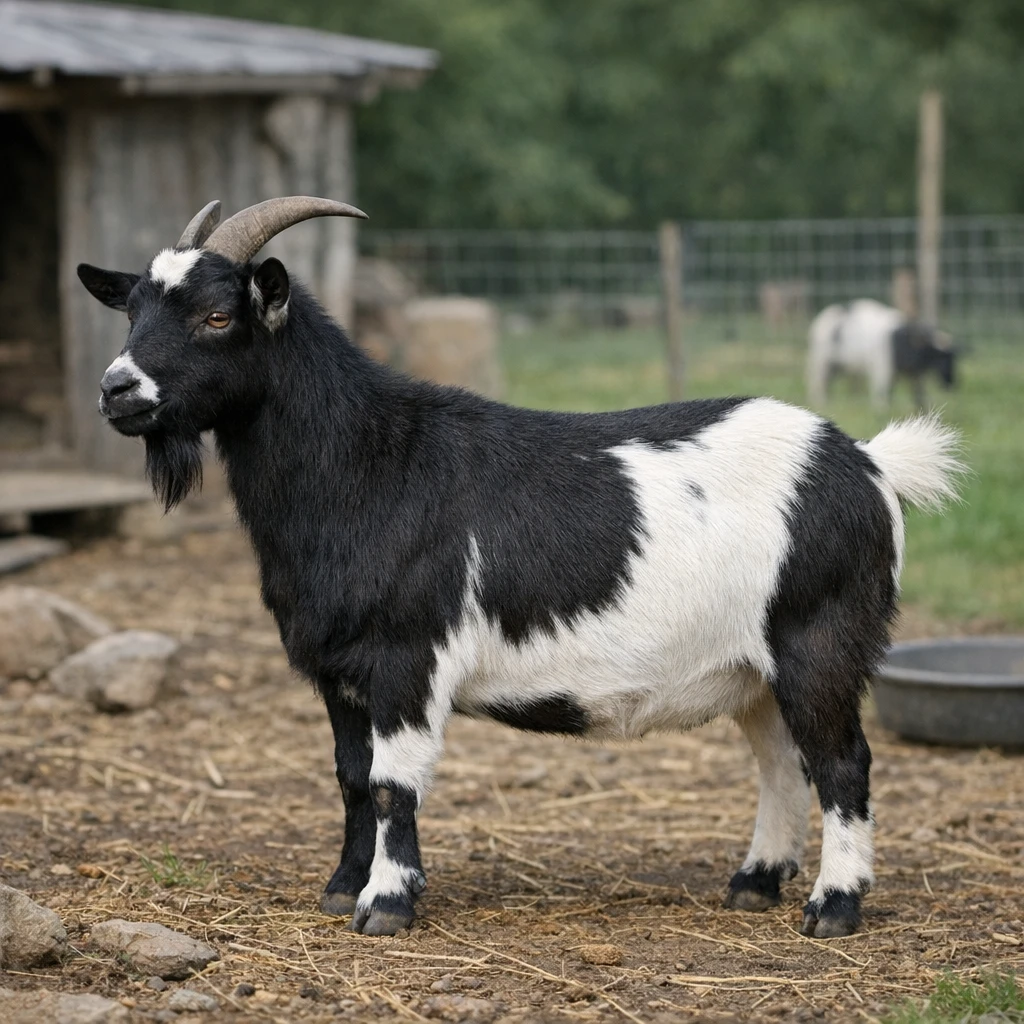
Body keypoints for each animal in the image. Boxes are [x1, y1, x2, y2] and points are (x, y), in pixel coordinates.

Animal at [807, 299, 956, 409]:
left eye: (953, 358)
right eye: (941, 356)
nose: (951, 383)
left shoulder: (915, 374)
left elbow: (918, 394)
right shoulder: (883, 369)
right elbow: (884, 391)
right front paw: (883, 410)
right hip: (822, 364)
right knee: (821, 386)